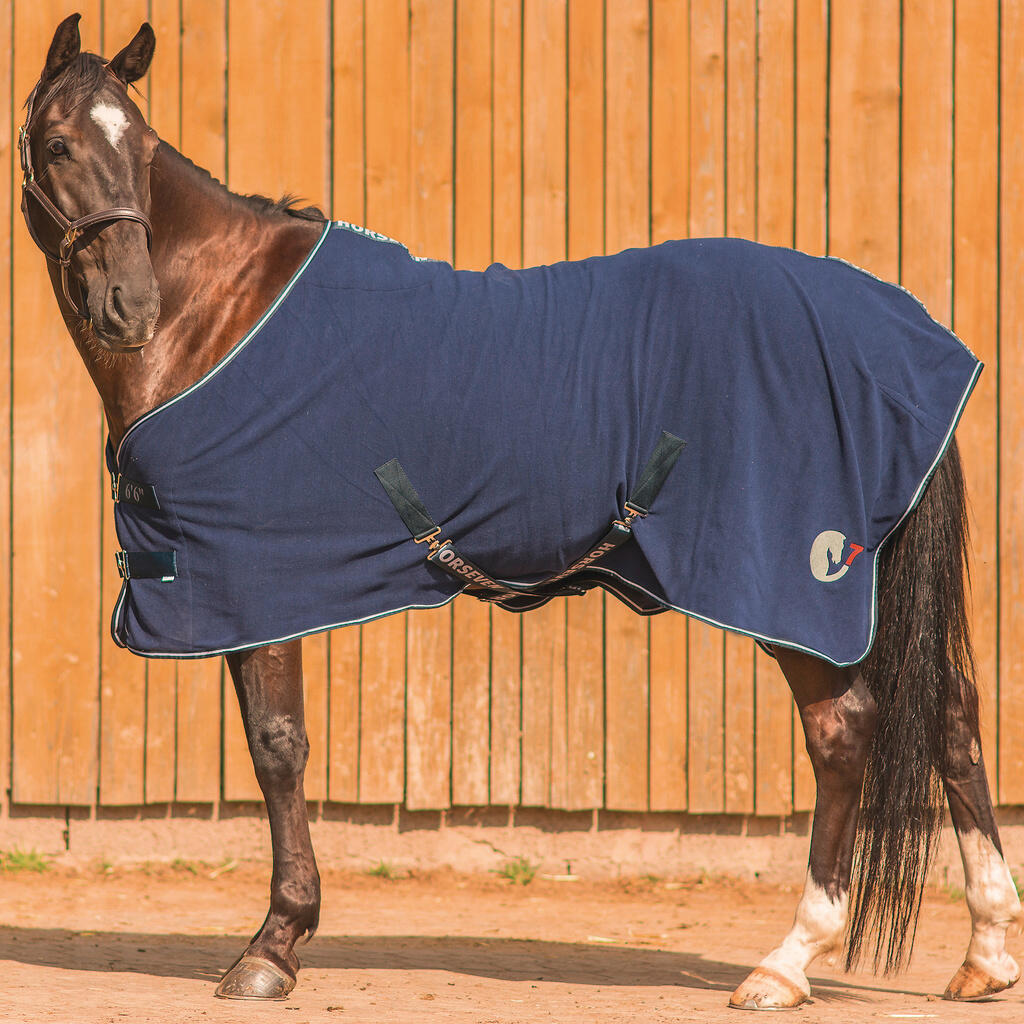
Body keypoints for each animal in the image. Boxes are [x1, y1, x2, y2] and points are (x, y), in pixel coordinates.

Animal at [18, 14, 1021, 1008]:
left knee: (844, 731)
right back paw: (986, 952)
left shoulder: (255, 580)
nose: (130, 306)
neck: (221, 313)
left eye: (144, 148)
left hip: (794, 587)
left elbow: (276, 747)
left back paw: (787, 961)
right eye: (60, 144)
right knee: (953, 715)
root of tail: (901, 335)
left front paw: (274, 946)